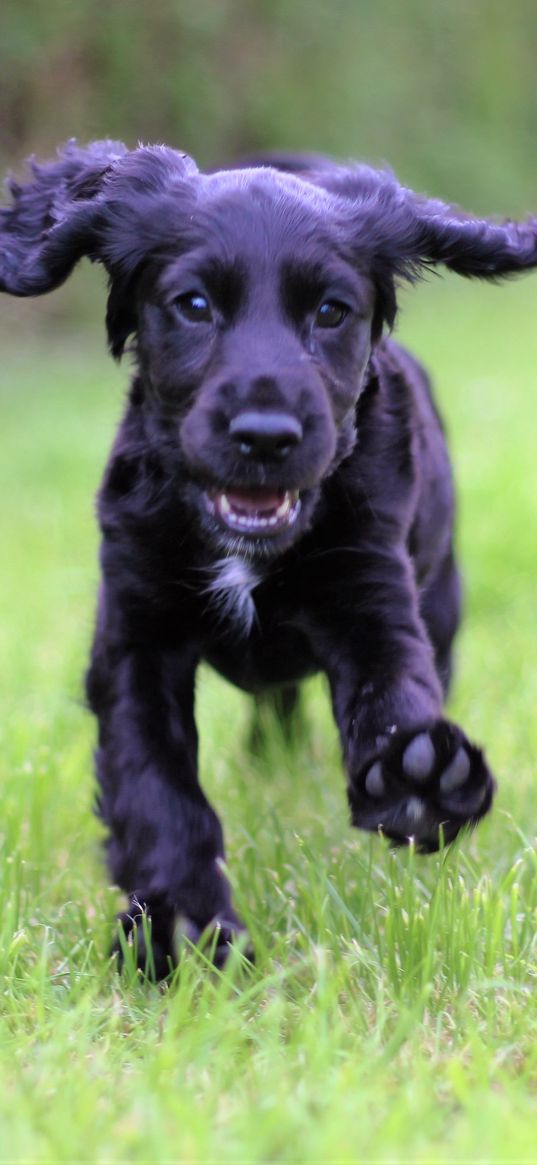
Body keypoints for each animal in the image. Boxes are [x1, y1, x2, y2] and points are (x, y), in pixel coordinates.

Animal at [2, 138, 533, 973]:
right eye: (193, 305)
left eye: (330, 311)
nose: (264, 435)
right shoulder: (133, 636)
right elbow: (155, 786)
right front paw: (182, 930)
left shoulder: (371, 590)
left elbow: (392, 691)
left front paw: (421, 778)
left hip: (442, 594)